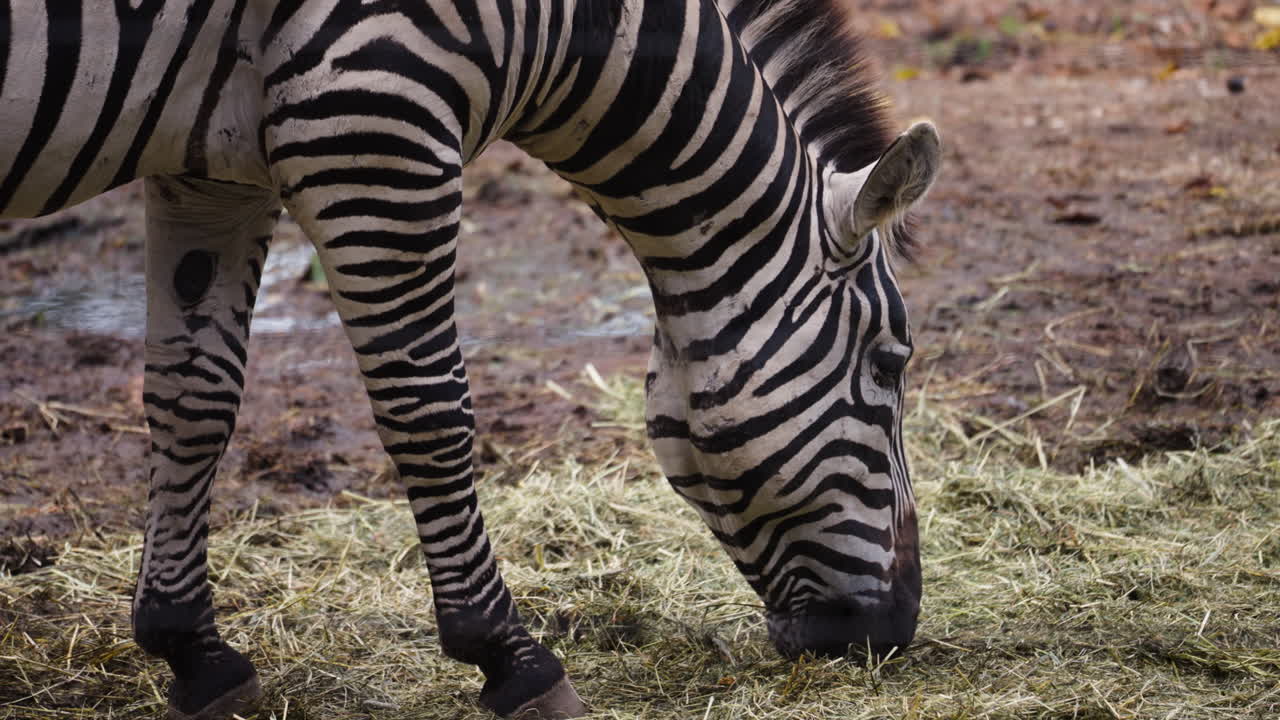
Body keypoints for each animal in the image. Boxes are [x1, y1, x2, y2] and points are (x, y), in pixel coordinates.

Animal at [1, 0, 940, 717]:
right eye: (890, 365)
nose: (894, 631)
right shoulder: (374, 117)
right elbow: (428, 408)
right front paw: (509, 657)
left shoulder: (213, 167)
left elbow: (194, 394)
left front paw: (191, 649)